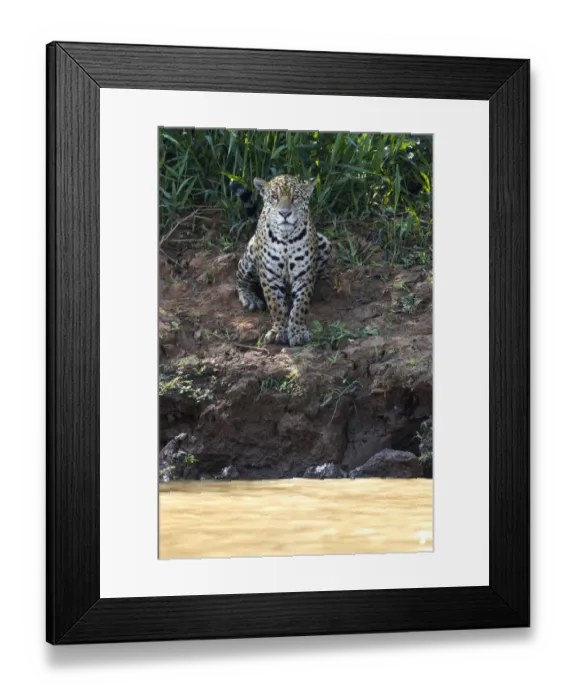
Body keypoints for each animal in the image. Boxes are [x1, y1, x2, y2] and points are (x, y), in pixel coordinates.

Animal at [232, 174, 331, 347]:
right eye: (274, 197)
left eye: (295, 197)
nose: (285, 213)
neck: (286, 238)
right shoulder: (269, 275)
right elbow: (276, 305)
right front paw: (279, 331)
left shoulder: (304, 274)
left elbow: (301, 304)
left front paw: (298, 331)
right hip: (250, 255)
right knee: (239, 277)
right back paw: (249, 298)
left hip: (324, 242)